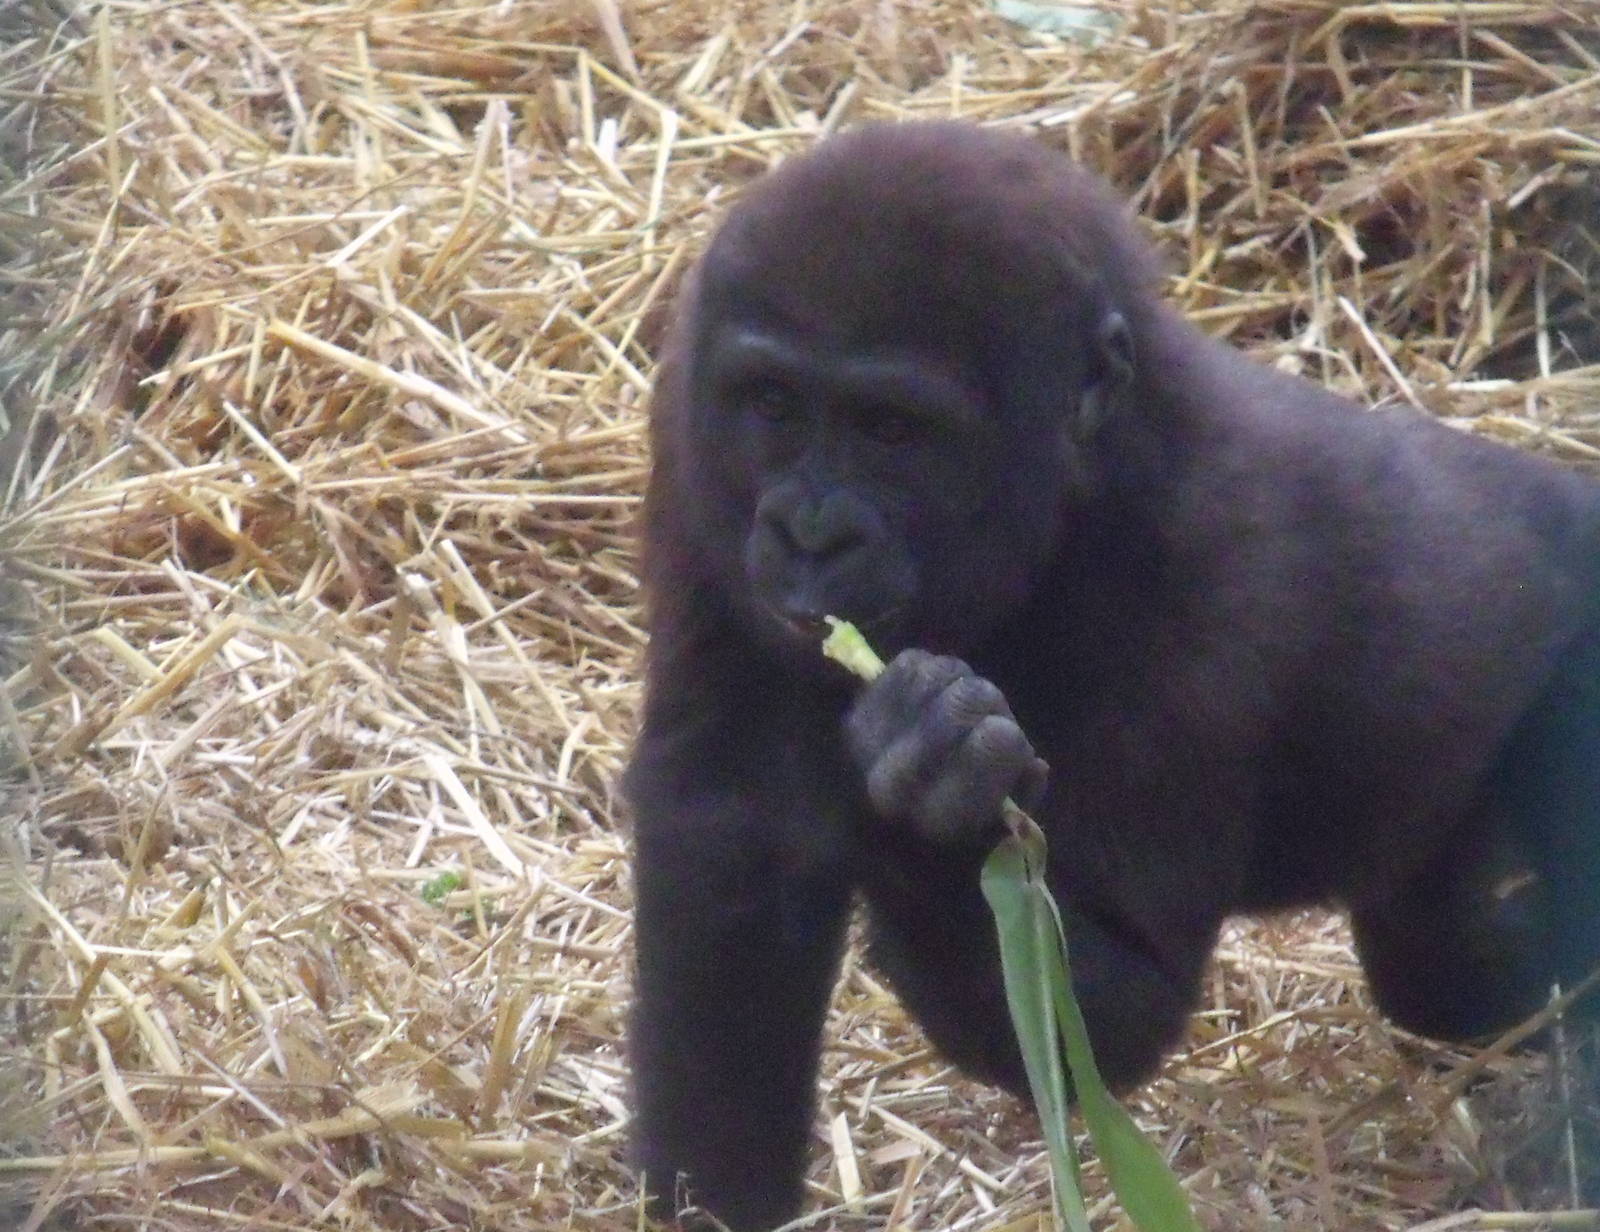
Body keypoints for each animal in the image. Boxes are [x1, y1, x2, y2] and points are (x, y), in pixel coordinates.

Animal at [623, 119, 1600, 1230]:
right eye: (774, 405)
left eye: (891, 429)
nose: (809, 534)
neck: (1091, 464)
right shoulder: (693, 454)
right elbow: (732, 830)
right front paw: (705, 1198)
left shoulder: (1203, 574)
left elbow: (1121, 1005)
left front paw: (935, 780)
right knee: (1454, 967)